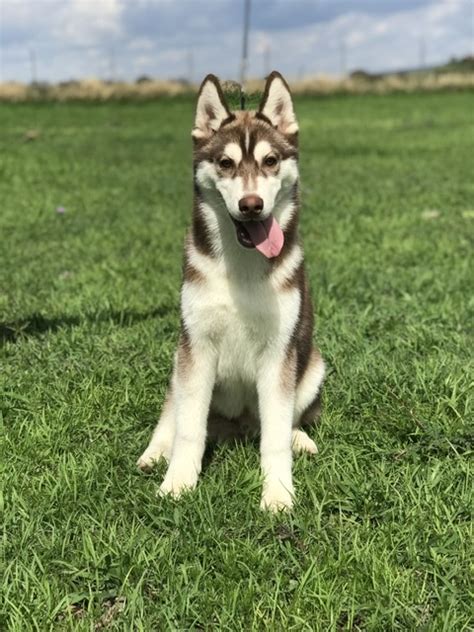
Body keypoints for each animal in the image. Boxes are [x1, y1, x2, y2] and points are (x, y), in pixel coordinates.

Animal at [137, 71, 322, 512]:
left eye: (271, 161)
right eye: (226, 163)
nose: (251, 205)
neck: (242, 267)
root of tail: (237, 428)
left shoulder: (279, 352)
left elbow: (274, 437)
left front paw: (278, 494)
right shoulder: (197, 345)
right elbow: (188, 429)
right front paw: (177, 484)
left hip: (313, 366)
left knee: (281, 420)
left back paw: (299, 438)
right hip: (180, 362)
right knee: (174, 413)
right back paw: (156, 451)